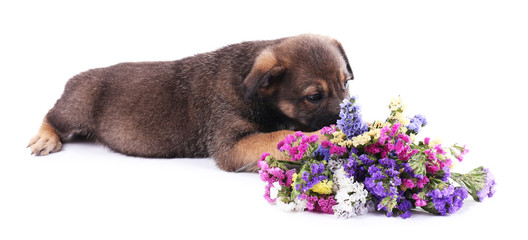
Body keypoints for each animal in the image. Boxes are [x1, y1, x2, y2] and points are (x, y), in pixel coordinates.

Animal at [26, 34, 352, 172]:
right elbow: (281, 135)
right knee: (52, 115)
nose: (347, 122)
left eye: (346, 83)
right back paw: (45, 137)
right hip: (77, 105)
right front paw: (322, 136)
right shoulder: (231, 144)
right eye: (314, 97)